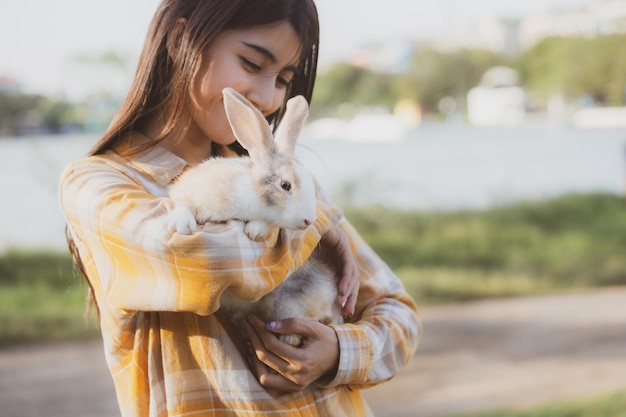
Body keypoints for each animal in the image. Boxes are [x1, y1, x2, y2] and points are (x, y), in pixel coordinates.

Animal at [168, 87, 342, 344]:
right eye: (285, 185)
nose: (308, 221)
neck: (250, 198)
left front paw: (256, 230)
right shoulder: (188, 189)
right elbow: (182, 204)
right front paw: (183, 225)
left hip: (288, 305)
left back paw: (286, 338)